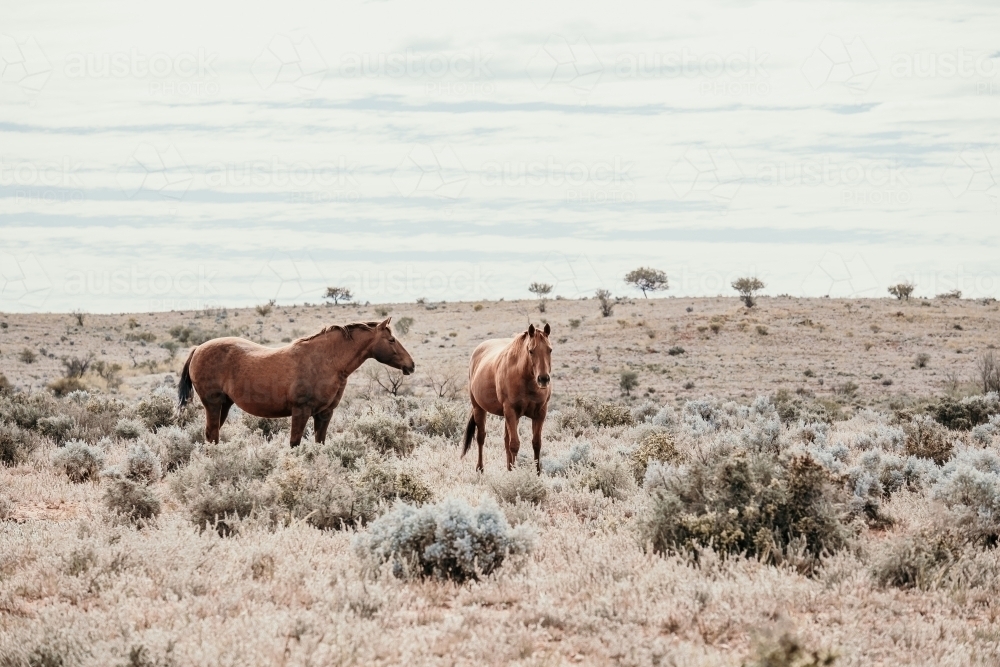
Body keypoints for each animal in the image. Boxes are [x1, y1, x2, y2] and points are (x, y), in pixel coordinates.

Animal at [177, 320, 414, 446]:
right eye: (391, 340)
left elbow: (319, 443)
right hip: (213, 404)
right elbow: (295, 443)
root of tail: (197, 348)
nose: (410, 365)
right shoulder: (301, 411)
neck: (325, 361)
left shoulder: (325, 414)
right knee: (212, 435)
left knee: (212, 434)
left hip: (224, 405)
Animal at [462, 324, 556, 474]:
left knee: (506, 440)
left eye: (550, 350)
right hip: (479, 408)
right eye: (531, 351)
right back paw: (480, 469)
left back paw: (509, 468)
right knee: (481, 437)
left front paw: (537, 472)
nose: (543, 379)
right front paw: (516, 474)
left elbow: (536, 443)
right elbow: (514, 444)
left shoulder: (540, 413)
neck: (525, 379)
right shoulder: (511, 411)